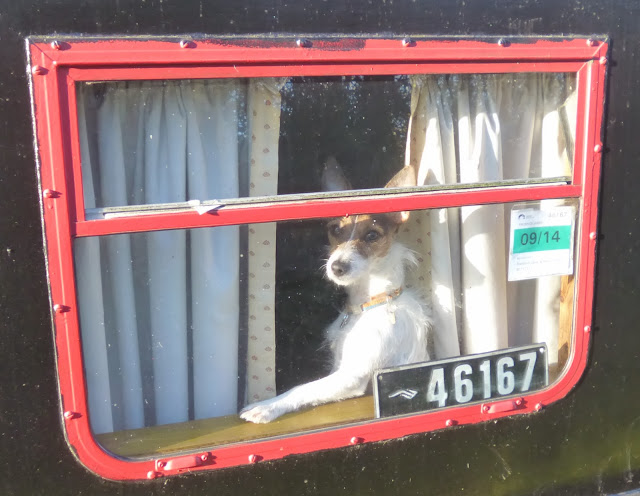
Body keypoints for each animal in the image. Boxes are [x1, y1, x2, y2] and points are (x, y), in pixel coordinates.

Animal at [241, 161, 436, 424]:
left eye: (372, 235)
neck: (368, 305)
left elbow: (301, 388)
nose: (336, 267)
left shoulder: (352, 376)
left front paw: (268, 406)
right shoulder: (339, 368)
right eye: (335, 229)